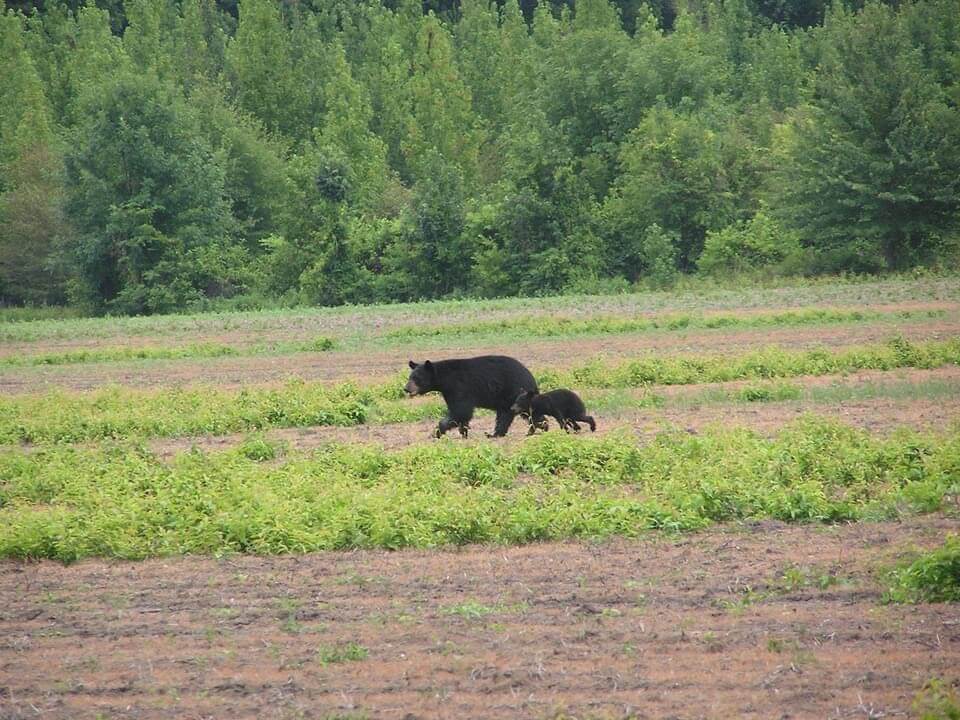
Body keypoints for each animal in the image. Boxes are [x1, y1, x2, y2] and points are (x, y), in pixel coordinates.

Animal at [404, 356, 540, 438]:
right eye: (410, 377)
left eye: (417, 378)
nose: (406, 388)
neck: (445, 380)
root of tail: (530, 376)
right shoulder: (449, 392)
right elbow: (460, 413)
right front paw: (463, 432)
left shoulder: (459, 387)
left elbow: (460, 411)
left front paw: (436, 432)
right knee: (505, 415)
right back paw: (496, 434)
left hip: (515, 392)